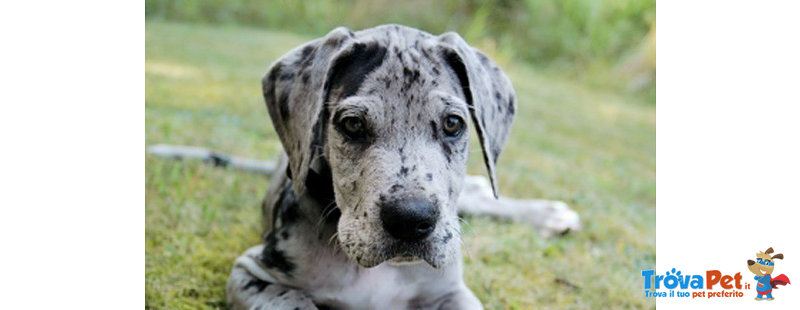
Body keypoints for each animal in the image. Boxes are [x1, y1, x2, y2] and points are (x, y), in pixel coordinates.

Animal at [225, 24, 528, 310]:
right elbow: (294, 301)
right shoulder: (251, 274)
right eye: (353, 124)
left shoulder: (452, 292)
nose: (410, 220)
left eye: (452, 123)